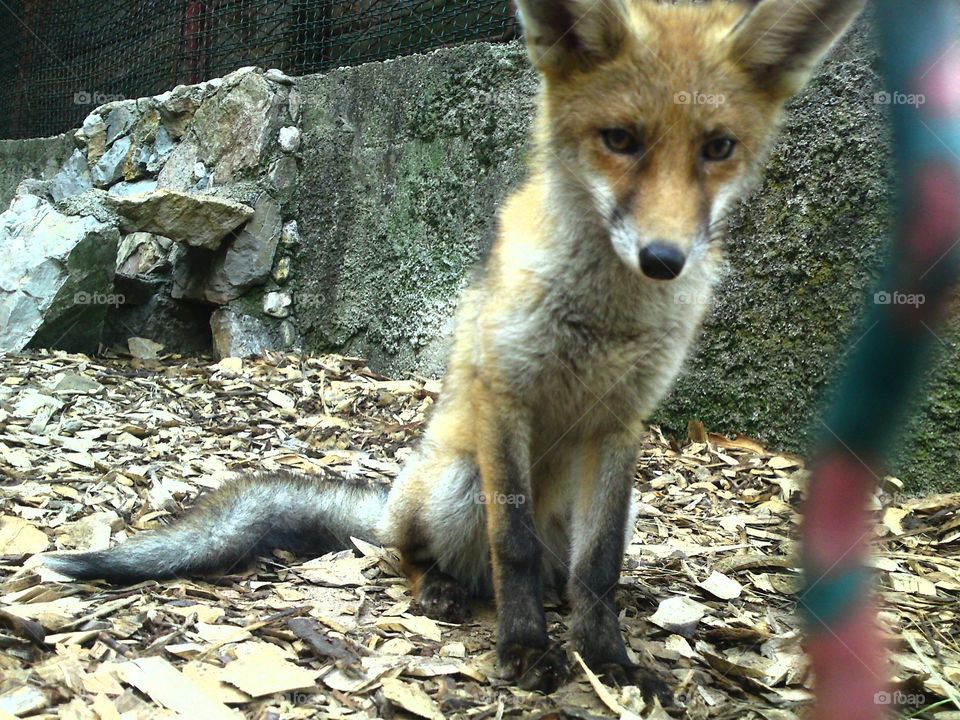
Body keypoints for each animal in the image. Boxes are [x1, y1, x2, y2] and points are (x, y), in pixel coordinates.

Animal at [45, 0, 865, 699]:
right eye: (621, 140)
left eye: (718, 149)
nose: (664, 259)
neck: (603, 321)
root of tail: (390, 503)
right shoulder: (508, 399)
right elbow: (516, 550)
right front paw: (526, 651)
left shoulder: (621, 422)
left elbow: (599, 570)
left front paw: (609, 662)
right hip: (459, 482)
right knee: (416, 559)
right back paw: (438, 587)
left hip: (613, 502)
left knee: (569, 570)